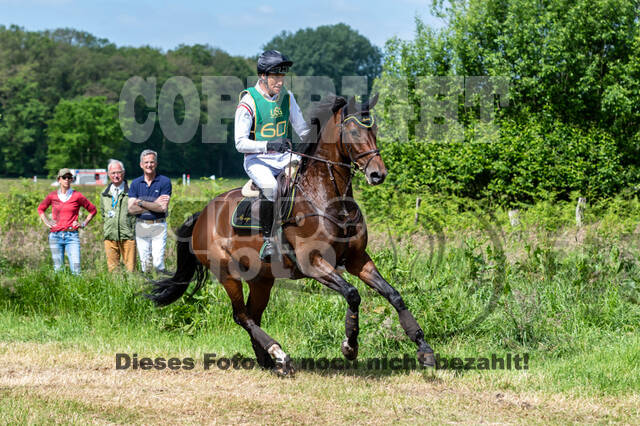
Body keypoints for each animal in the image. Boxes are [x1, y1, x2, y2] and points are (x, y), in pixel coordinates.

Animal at [146, 94, 436, 376]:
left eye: (374, 130)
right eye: (353, 132)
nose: (378, 174)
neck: (327, 200)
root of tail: (202, 214)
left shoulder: (357, 259)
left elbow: (393, 294)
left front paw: (423, 347)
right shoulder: (314, 263)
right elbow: (353, 294)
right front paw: (350, 345)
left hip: (261, 279)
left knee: (253, 314)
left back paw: (270, 361)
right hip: (227, 273)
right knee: (242, 316)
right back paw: (280, 354)